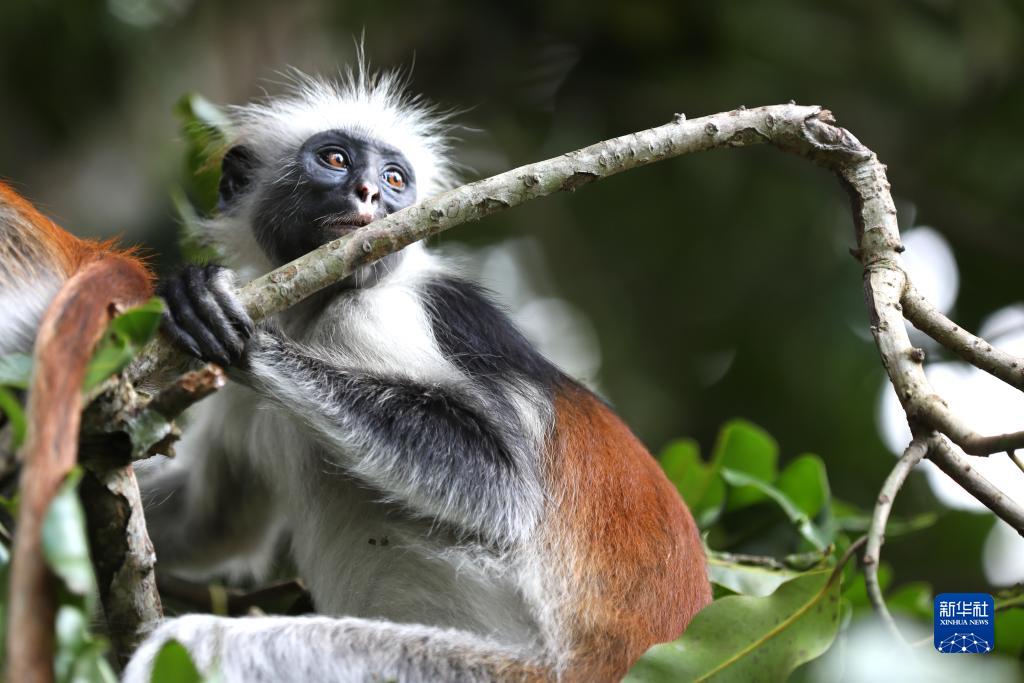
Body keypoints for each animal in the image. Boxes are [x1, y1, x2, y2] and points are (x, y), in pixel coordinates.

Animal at [121, 67, 710, 681]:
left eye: (394, 178)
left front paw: (239, 333)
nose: (370, 194)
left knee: (193, 642)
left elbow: (505, 489)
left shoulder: (378, 311)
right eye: (335, 159)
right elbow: (210, 523)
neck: (310, 312)